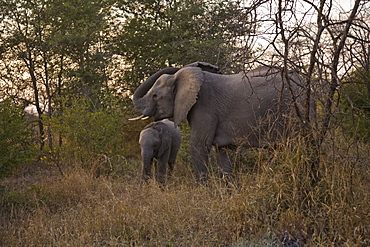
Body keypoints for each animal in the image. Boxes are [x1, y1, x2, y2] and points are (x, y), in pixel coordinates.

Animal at [132, 61, 304, 183]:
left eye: (155, 96)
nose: (203, 64)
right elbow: (223, 152)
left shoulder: (204, 107)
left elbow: (199, 145)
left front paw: (203, 195)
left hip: (293, 109)